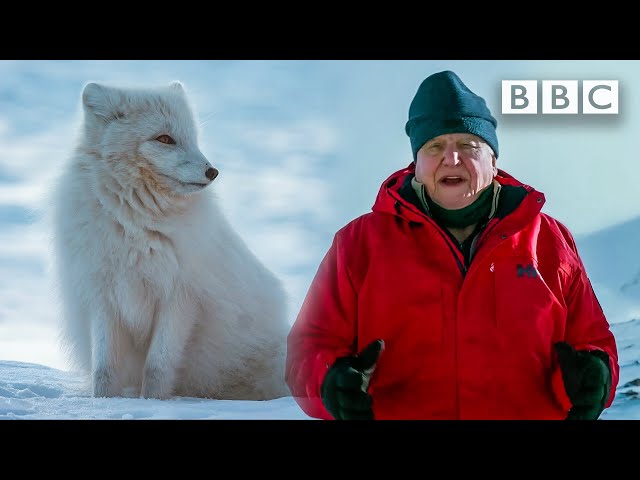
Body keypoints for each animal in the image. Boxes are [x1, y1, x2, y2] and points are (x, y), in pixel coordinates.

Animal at [50, 82, 290, 402]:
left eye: (193, 138)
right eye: (165, 138)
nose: (213, 172)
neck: (137, 227)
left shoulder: (181, 298)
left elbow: (158, 366)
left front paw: (152, 402)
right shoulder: (103, 295)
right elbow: (104, 368)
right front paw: (104, 403)